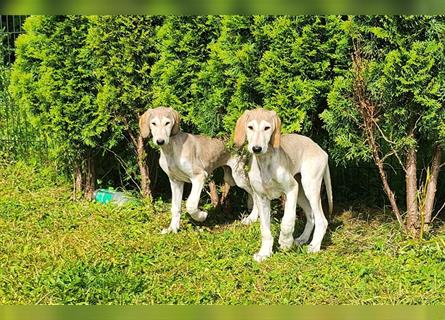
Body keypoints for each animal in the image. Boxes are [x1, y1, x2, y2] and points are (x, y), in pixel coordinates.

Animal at [140, 106, 255, 234]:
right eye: (153, 123)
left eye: (167, 123)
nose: (160, 141)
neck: (171, 150)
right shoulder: (175, 181)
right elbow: (175, 207)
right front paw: (173, 229)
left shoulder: (199, 176)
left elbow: (190, 204)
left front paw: (201, 216)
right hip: (230, 178)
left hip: (238, 176)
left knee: (255, 193)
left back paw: (252, 217)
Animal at [234, 109, 332, 262]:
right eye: (250, 127)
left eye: (267, 128)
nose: (256, 148)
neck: (265, 163)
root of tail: (321, 150)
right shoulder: (262, 198)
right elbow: (265, 230)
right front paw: (264, 253)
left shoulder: (291, 189)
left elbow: (287, 220)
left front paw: (285, 242)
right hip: (301, 192)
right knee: (311, 216)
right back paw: (302, 239)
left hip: (310, 187)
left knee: (322, 220)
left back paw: (314, 246)